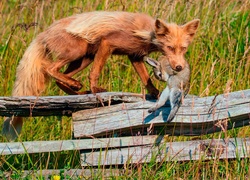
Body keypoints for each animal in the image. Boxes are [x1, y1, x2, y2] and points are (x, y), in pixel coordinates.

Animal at [2, 11, 199, 140]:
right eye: (170, 48)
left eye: (183, 49)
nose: (179, 67)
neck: (144, 33)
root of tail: (43, 33)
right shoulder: (108, 44)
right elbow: (95, 73)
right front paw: (96, 89)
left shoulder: (134, 56)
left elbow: (146, 79)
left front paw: (155, 94)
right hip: (79, 51)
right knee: (50, 70)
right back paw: (79, 87)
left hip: (84, 57)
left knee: (59, 79)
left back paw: (77, 91)